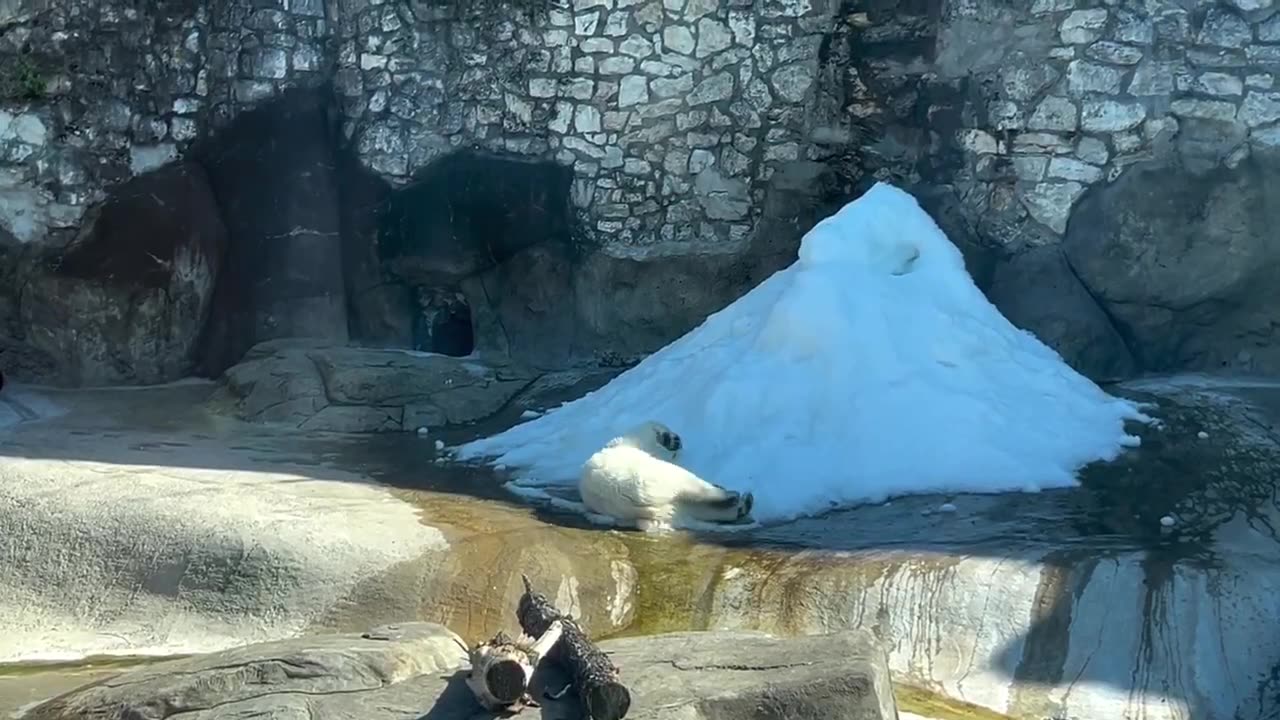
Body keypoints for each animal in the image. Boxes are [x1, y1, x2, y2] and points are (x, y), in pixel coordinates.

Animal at [578, 417, 752, 530]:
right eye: (669, 432)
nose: (678, 440)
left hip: (656, 507)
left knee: (692, 508)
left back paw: (743, 505)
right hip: (648, 479)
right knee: (690, 485)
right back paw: (731, 495)